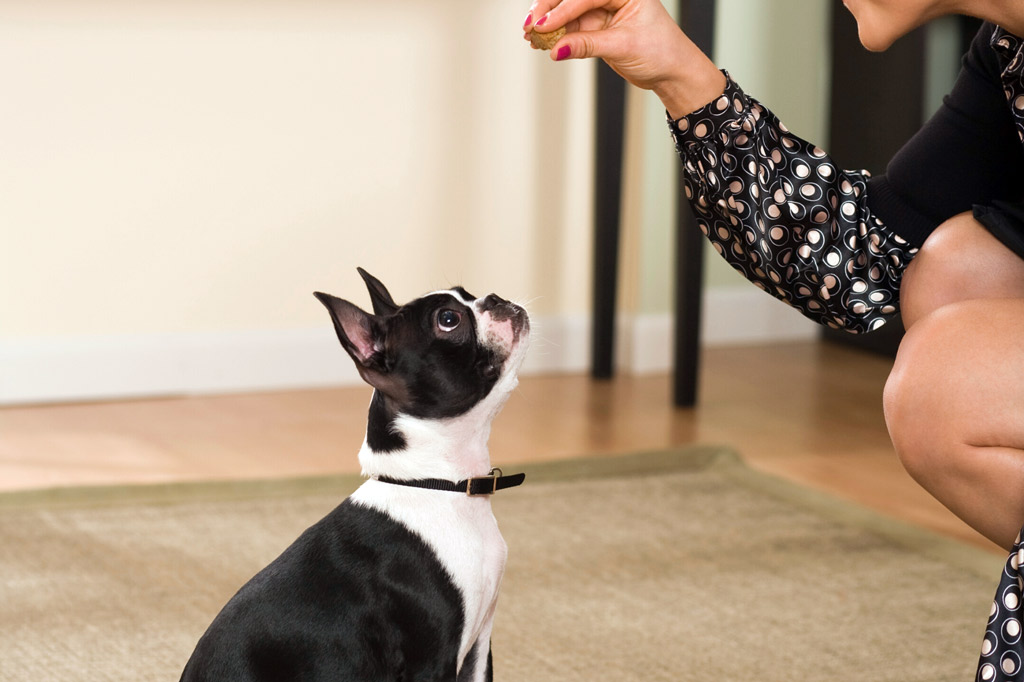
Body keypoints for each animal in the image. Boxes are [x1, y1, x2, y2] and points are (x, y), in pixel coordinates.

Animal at [181, 266, 532, 679]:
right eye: (448, 320)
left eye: (468, 293)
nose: (494, 298)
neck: (438, 487)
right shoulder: (432, 659)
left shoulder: (478, 647)